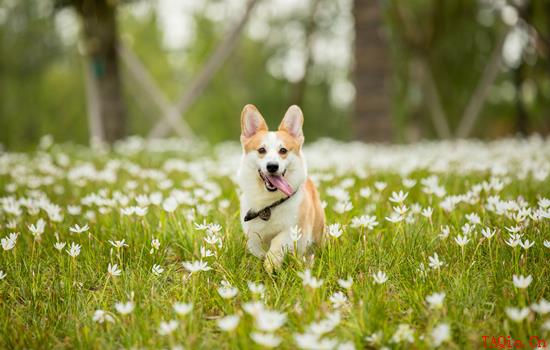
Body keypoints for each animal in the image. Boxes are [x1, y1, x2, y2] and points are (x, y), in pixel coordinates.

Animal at [238, 102, 326, 272]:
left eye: (283, 150)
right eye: (261, 150)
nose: (272, 166)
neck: (269, 204)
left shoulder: (294, 228)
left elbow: (278, 241)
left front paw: (271, 263)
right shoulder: (253, 234)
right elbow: (257, 249)